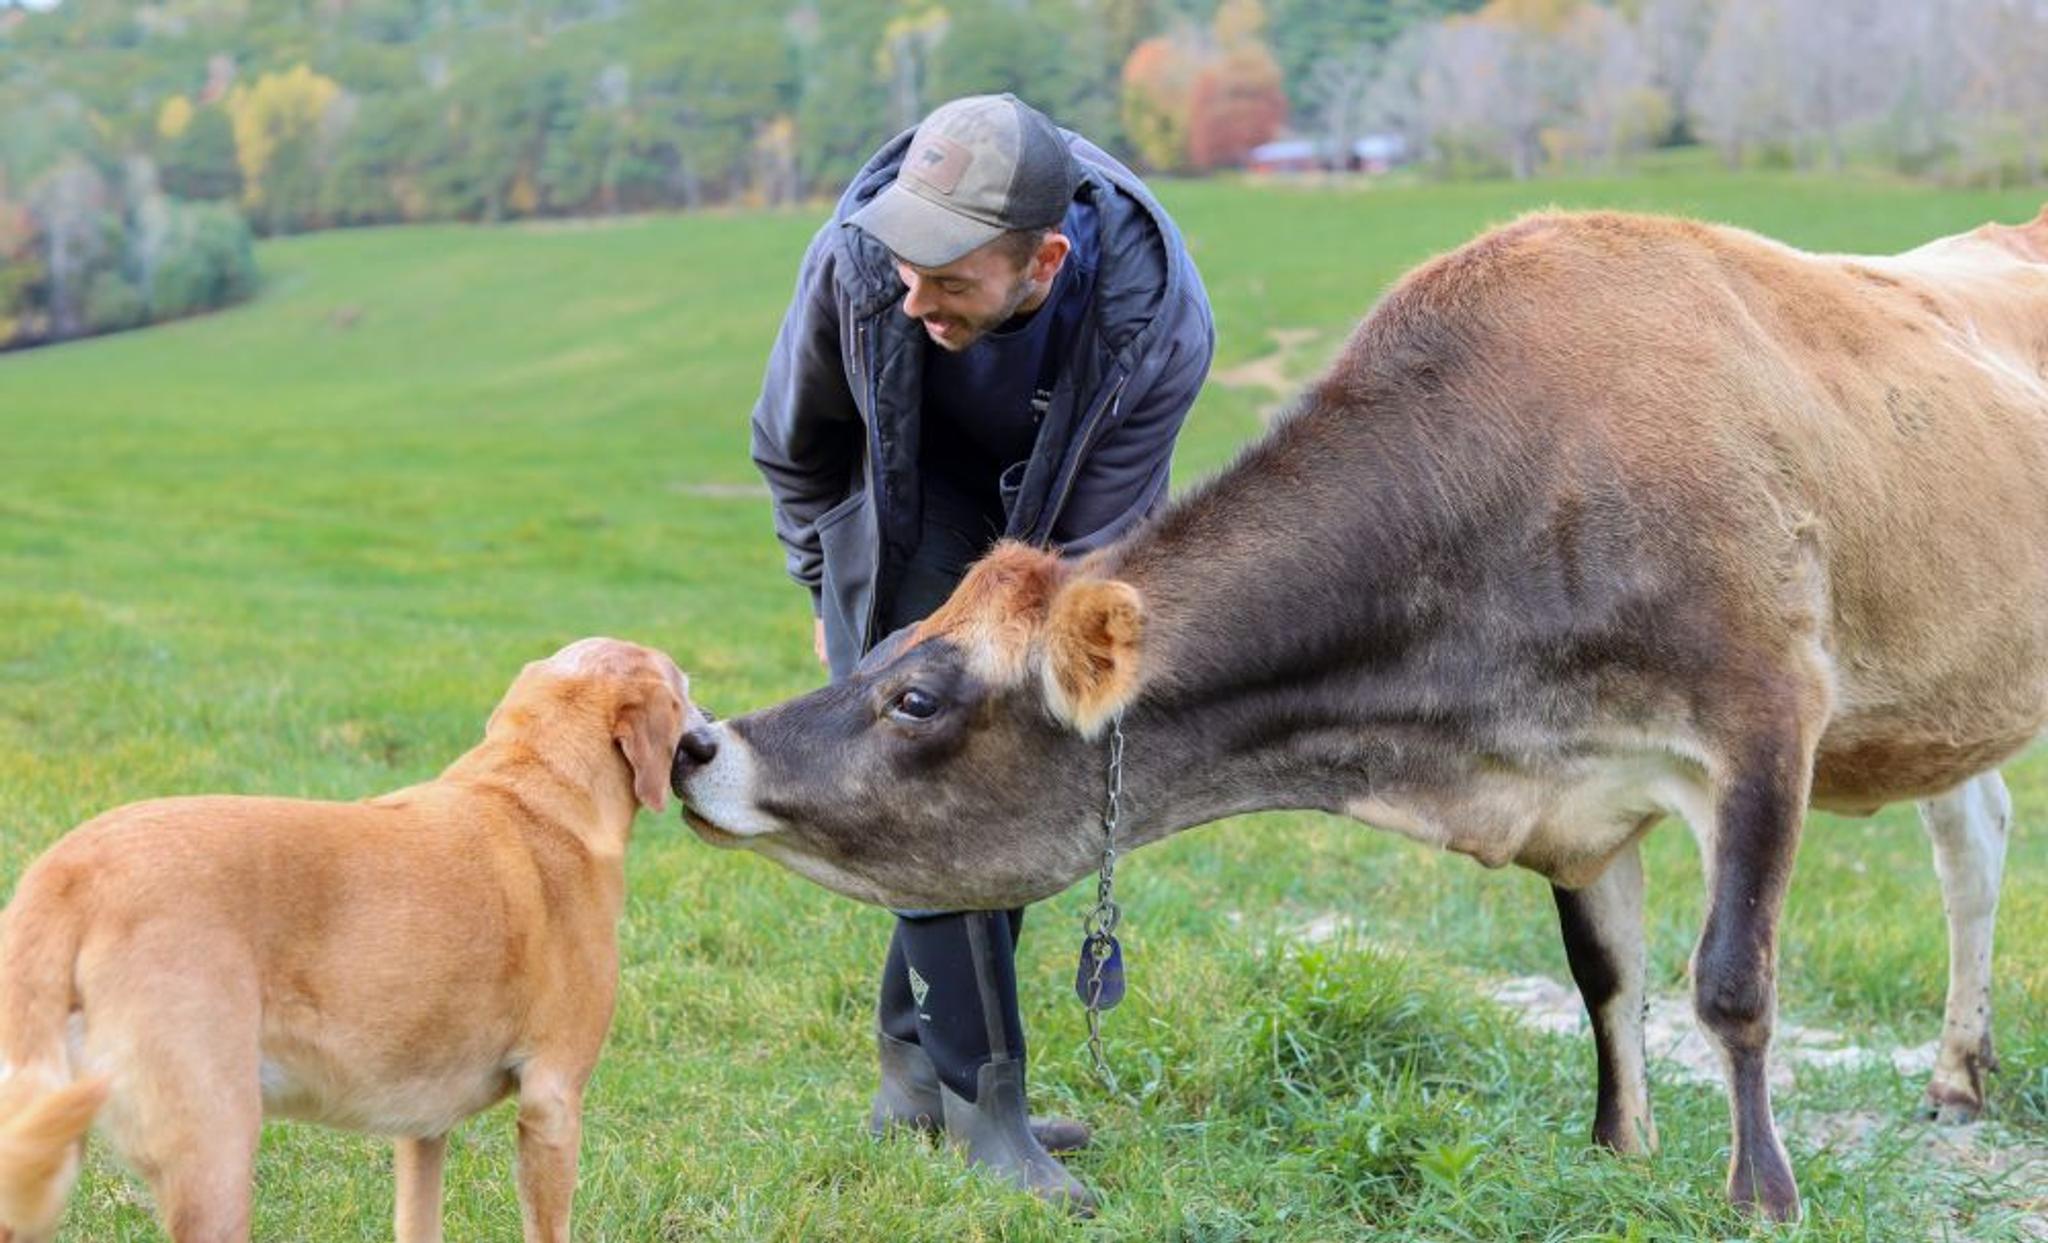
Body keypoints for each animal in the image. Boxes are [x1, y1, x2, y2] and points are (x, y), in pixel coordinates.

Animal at [0, 643, 696, 1243]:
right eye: (685, 690)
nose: (707, 738)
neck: (534, 787)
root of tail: (68, 872)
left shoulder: (423, 1127)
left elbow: (419, 1220)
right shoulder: (553, 1103)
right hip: (214, 1152)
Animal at [679, 208, 2048, 1220]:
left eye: (915, 696)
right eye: (885, 648)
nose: (702, 743)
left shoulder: (1764, 715)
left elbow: (1727, 983)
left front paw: (1759, 1196)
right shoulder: (1579, 791)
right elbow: (1606, 978)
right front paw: (1618, 1154)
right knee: (1970, 832)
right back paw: (1957, 1076)